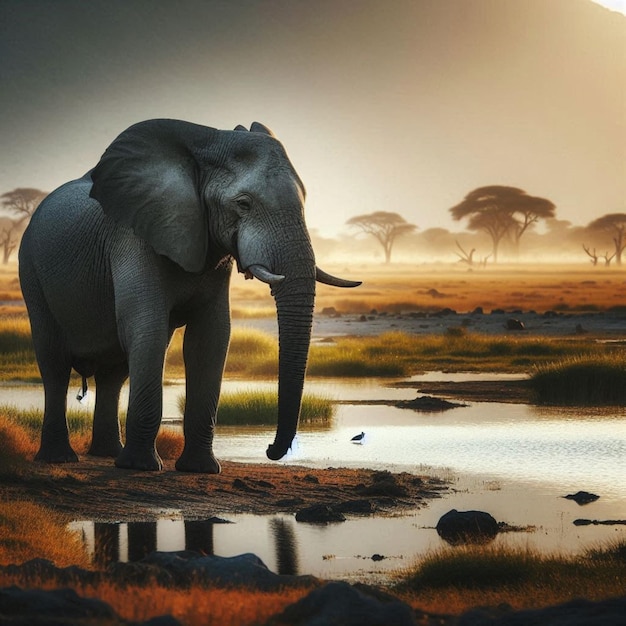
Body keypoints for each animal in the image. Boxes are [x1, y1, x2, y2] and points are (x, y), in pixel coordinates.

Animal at [19, 117, 358, 470]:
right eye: (243, 204)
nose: (268, 449)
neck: (206, 142)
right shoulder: (133, 237)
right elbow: (147, 328)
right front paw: (143, 467)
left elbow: (210, 337)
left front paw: (200, 469)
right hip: (31, 271)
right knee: (54, 363)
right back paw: (61, 458)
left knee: (114, 372)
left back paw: (110, 454)